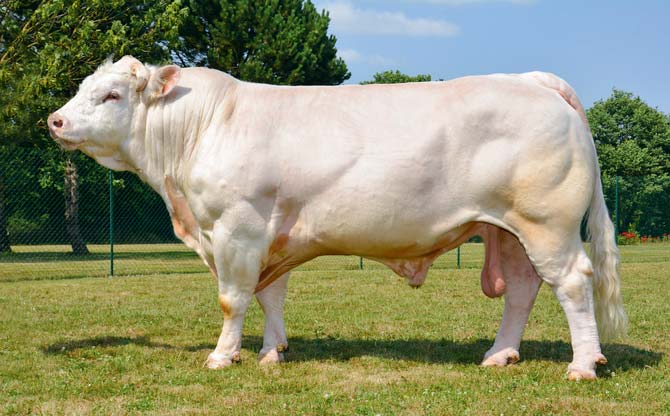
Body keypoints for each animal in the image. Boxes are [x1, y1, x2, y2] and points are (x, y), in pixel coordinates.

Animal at [48, 55, 632, 380]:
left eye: (111, 94)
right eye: (81, 88)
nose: (54, 120)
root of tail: (533, 79)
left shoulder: (236, 227)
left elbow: (233, 298)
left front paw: (222, 356)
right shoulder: (269, 235)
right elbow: (270, 295)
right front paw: (272, 352)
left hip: (547, 225)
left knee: (573, 284)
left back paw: (583, 365)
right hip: (505, 230)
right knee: (521, 289)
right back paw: (499, 355)